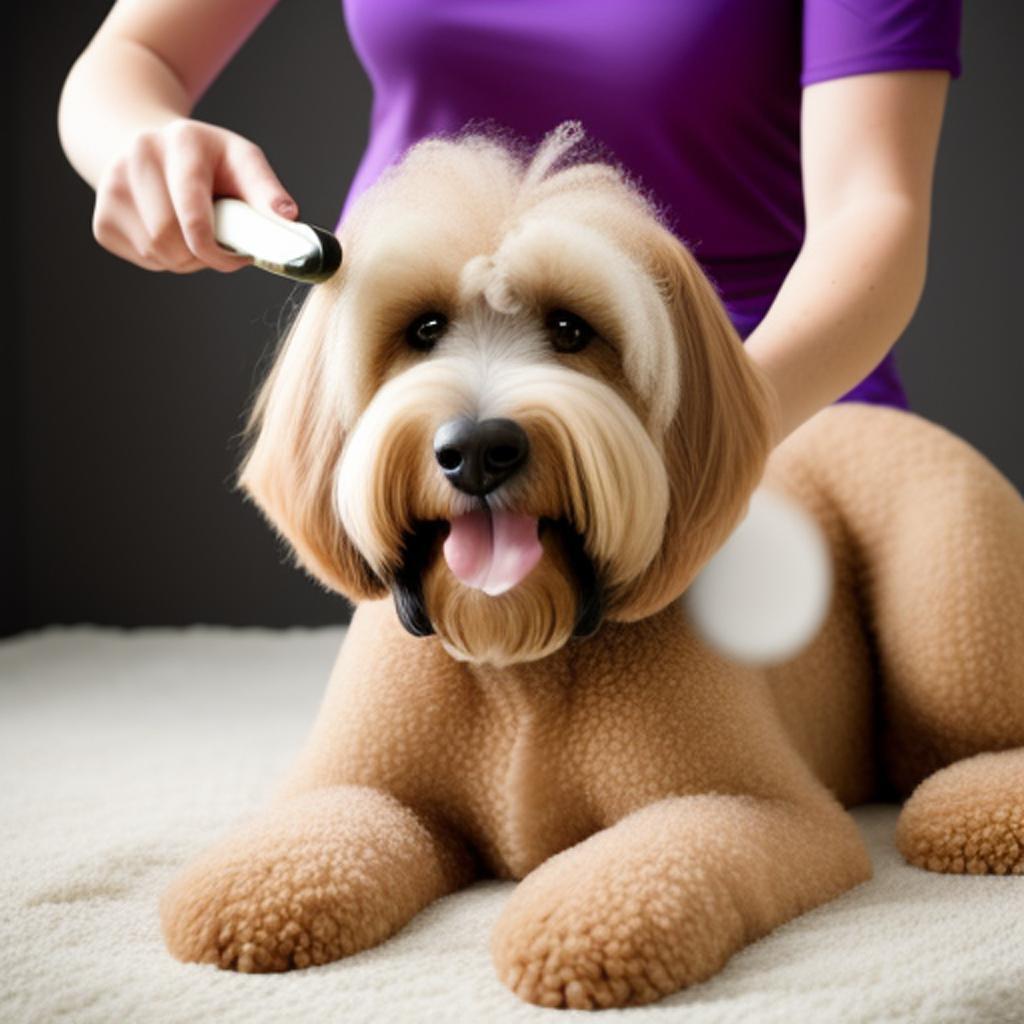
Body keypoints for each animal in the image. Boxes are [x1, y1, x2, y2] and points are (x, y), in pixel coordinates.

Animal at [161, 123, 1024, 1011]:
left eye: (571, 330)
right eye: (424, 328)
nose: (478, 449)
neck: (518, 659)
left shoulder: (762, 808)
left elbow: (658, 860)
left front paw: (575, 929)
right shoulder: (363, 782)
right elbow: (320, 832)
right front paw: (252, 892)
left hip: (947, 588)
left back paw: (979, 806)